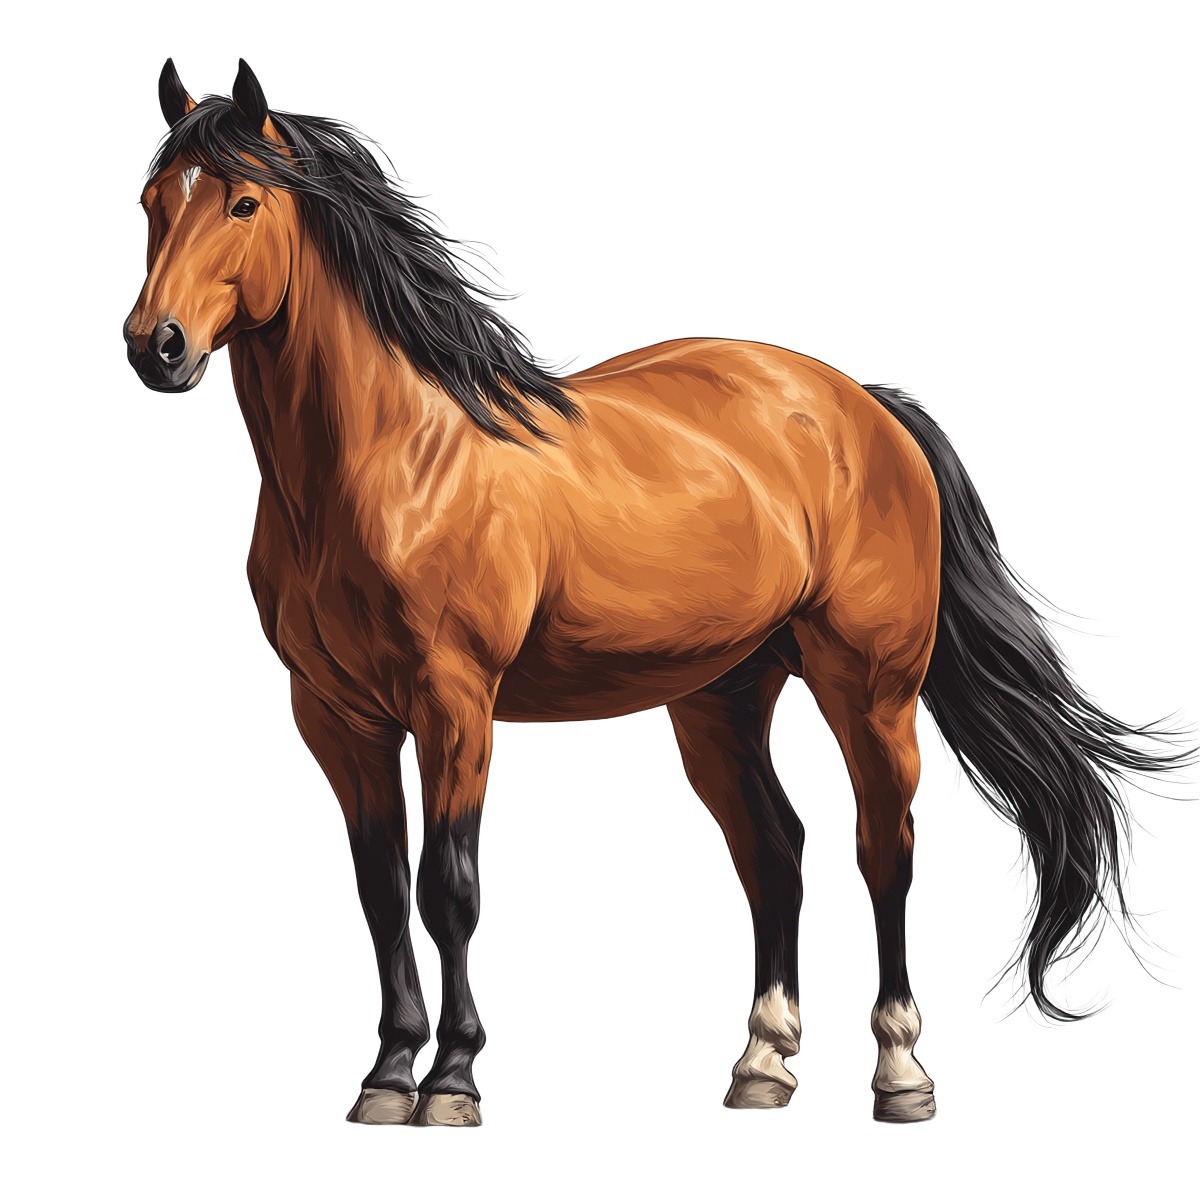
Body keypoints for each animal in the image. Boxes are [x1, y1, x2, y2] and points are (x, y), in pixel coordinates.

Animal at [124, 59, 1186, 1127]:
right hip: (721, 697)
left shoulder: (455, 704)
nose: (155, 347)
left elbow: (448, 889)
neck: (397, 460)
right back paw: (762, 1063)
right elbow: (379, 892)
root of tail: (866, 408)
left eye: (244, 201)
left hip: (871, 689)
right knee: (776, 851)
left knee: (883, 848)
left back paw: (901, 1072)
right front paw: (387, 1075)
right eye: (151, 202)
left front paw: (454, 1080)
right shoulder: (337, 717)